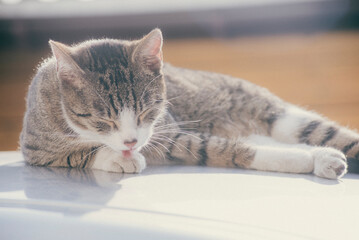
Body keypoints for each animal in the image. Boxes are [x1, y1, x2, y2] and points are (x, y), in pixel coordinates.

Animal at [19, 28, 359, 178]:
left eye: (146, 111)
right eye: (103, 121)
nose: (130, 142)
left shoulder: (168, 130)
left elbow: (224, 149)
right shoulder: (35, 149)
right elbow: (75, 156)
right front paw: (117, 158)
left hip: (279, 115)